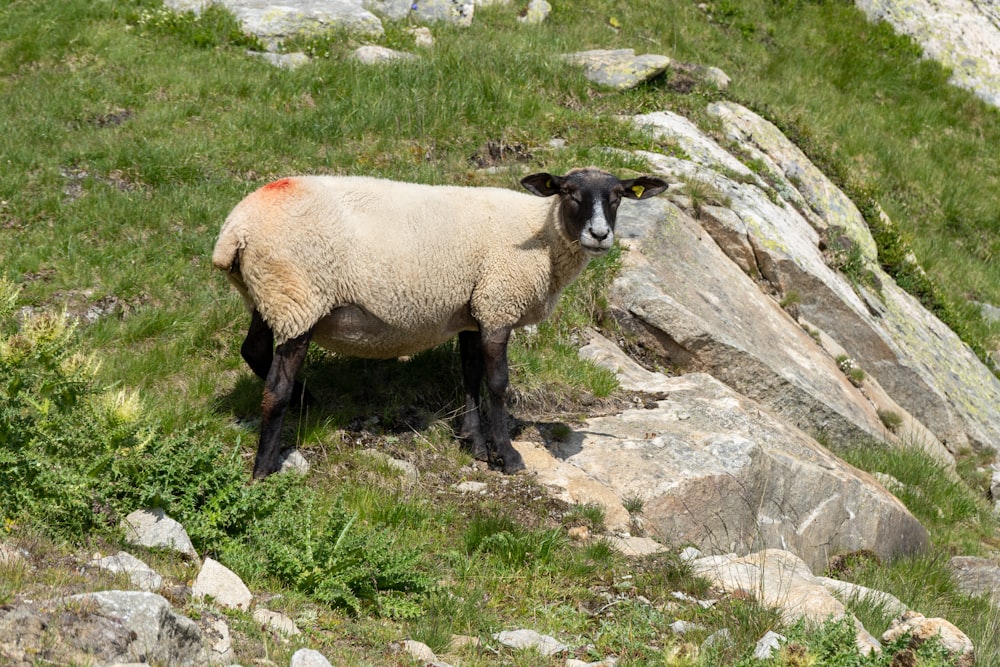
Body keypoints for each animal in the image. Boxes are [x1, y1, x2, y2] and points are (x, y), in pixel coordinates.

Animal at [213, 168, 664, 480]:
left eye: (618, 196)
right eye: (569, 192)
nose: (599, 235)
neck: (543, 238)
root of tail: (234, 230)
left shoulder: (473, 310)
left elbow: (469, 377)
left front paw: (475, 443)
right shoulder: (498, 302)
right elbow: (497, 384)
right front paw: (507, 456)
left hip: (267, 294)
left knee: (253, 350)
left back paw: (307, 400)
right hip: (297, 297)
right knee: (276, 387)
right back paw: (265, 467)